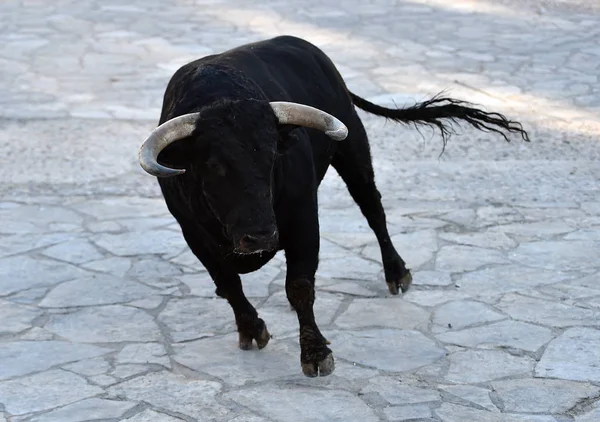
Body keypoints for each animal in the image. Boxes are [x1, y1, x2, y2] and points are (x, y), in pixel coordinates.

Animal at [137, 33, 528, 376]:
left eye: (272, 157)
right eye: (213, 164)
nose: (260, 236)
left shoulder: (303, 219)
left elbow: (299, 286)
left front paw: (315, 355)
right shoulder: (192, 233)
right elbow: (228, 283)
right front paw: (251, 329)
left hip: (354, 150)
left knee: (373, 210)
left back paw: (397, 273)